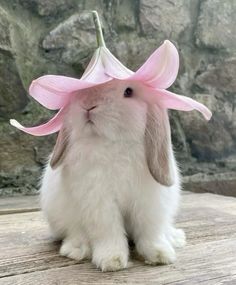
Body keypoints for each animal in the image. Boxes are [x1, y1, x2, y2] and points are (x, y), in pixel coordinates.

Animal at [40, 78, 186, 270]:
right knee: (75, 232)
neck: (114, 143)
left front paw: (160, 255)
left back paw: (175, 238)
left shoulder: (149, 203)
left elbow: (150, 231)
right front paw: (111, 260)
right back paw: (76, 249)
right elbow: (108, 230)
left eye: (129, 91)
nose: (88, 104)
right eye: (80, 91)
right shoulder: (100, 202)